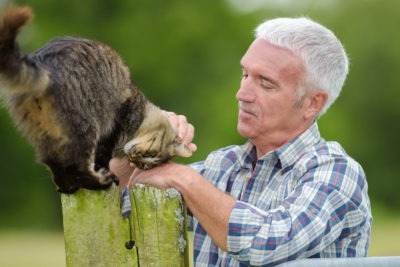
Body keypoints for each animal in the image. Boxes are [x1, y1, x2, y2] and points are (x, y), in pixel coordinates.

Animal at [0, 5, 192, 195]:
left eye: (144, 165)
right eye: (151, 156)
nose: (135, 158)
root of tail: (42, 61)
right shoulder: (113, 128)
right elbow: (102, 157)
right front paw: (106, 174)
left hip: (45, 133)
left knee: (53, 162)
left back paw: (67, 187)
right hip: (85, 127)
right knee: (76, 166)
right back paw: (100, 182)